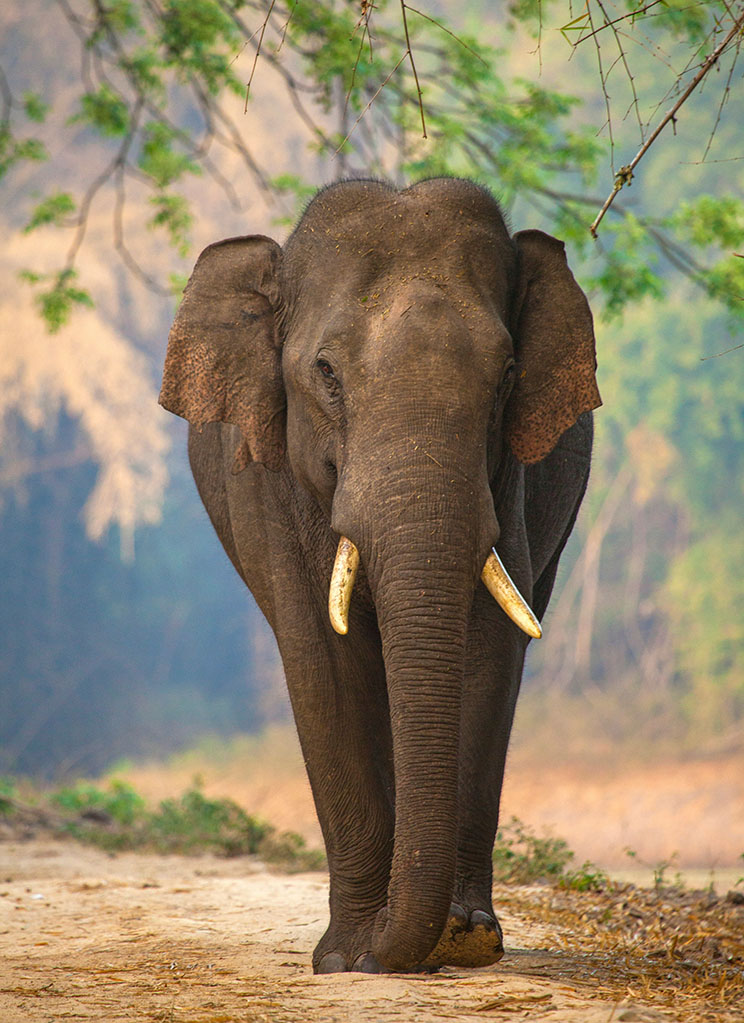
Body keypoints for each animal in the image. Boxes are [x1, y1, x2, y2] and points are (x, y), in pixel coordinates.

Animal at [159, 175, 601, 973]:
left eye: (507, 376)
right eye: (326, 373)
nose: (386, 948)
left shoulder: (510, 485)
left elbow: (488, 653)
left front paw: (463, 939)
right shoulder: (269, 482)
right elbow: (321, 663)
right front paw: (347, 957)